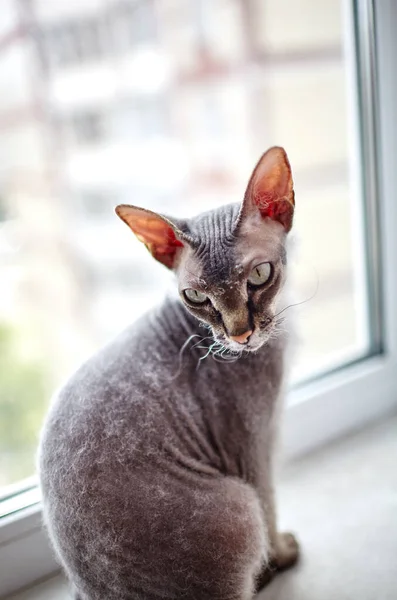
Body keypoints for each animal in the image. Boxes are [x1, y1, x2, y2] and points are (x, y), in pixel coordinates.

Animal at [38, 146, 298, 600]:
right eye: (195, 296)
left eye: (259, 275)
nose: (240, 334)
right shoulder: (251, 446)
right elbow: (270, 508)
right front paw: (282, 553)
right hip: (238, 503)